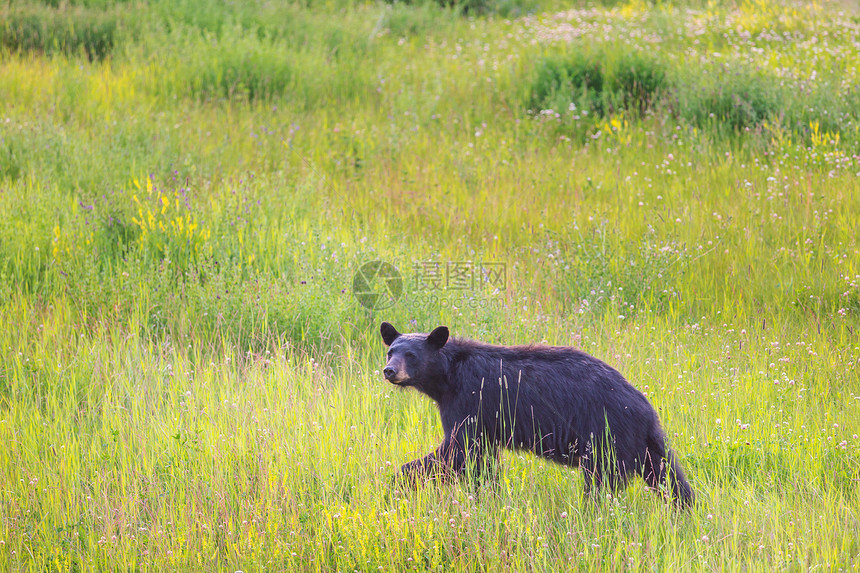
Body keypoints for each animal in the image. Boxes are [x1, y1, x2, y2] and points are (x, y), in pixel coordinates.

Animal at [380, 322, 696, 504]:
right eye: (391, 351)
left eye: (411, 355)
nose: (389, 371)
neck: (447, 377)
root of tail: (643, 405)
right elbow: (481, 461)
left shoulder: (468, 401)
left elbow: (457, 451)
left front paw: (397, 482)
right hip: (646, 442)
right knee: (669, 476)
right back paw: (685, 509)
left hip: (606, 436)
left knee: (600, 482)